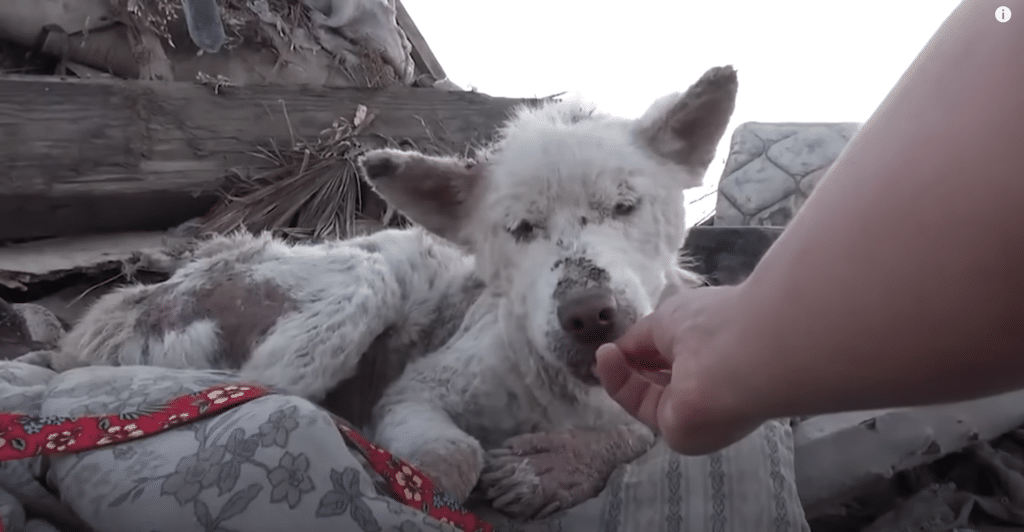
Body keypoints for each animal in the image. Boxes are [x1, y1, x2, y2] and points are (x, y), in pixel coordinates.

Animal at [49, 66, 737, 519]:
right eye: (520, 229)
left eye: (624, 206)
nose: (590, 315)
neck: (563, 392)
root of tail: (113, 313)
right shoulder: (418, 390)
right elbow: (451, 460)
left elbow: (648, 431)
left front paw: (556, 467)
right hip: (363, 280)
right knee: (258, 394)